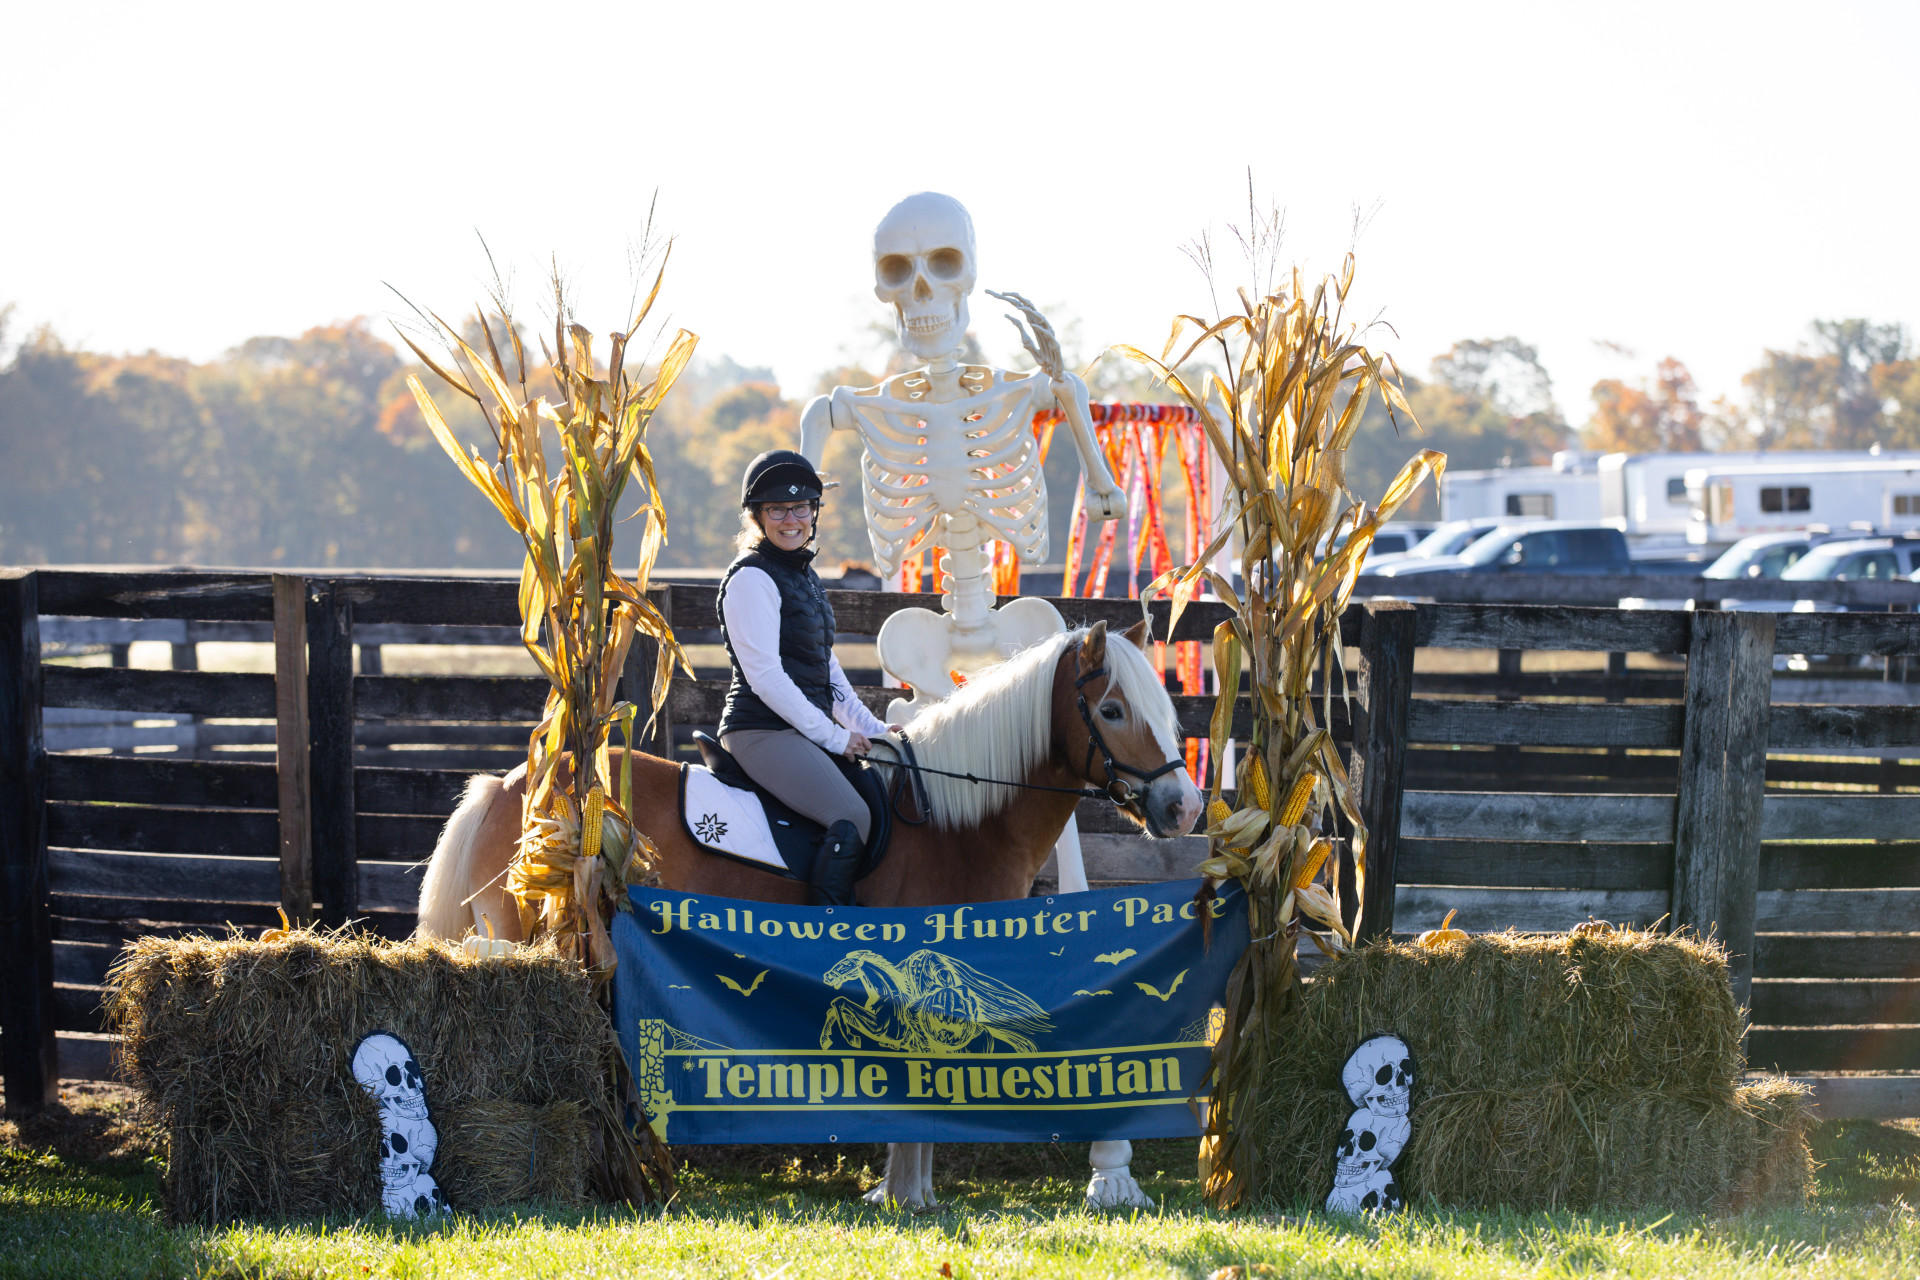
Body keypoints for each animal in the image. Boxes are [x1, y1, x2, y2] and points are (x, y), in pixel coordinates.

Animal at [418, 621, 1198, 1212]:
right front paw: (902, 1195)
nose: (1184, 807)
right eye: (1113, 710)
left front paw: (909, 1192)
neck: (955, 823)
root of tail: (515, 783)